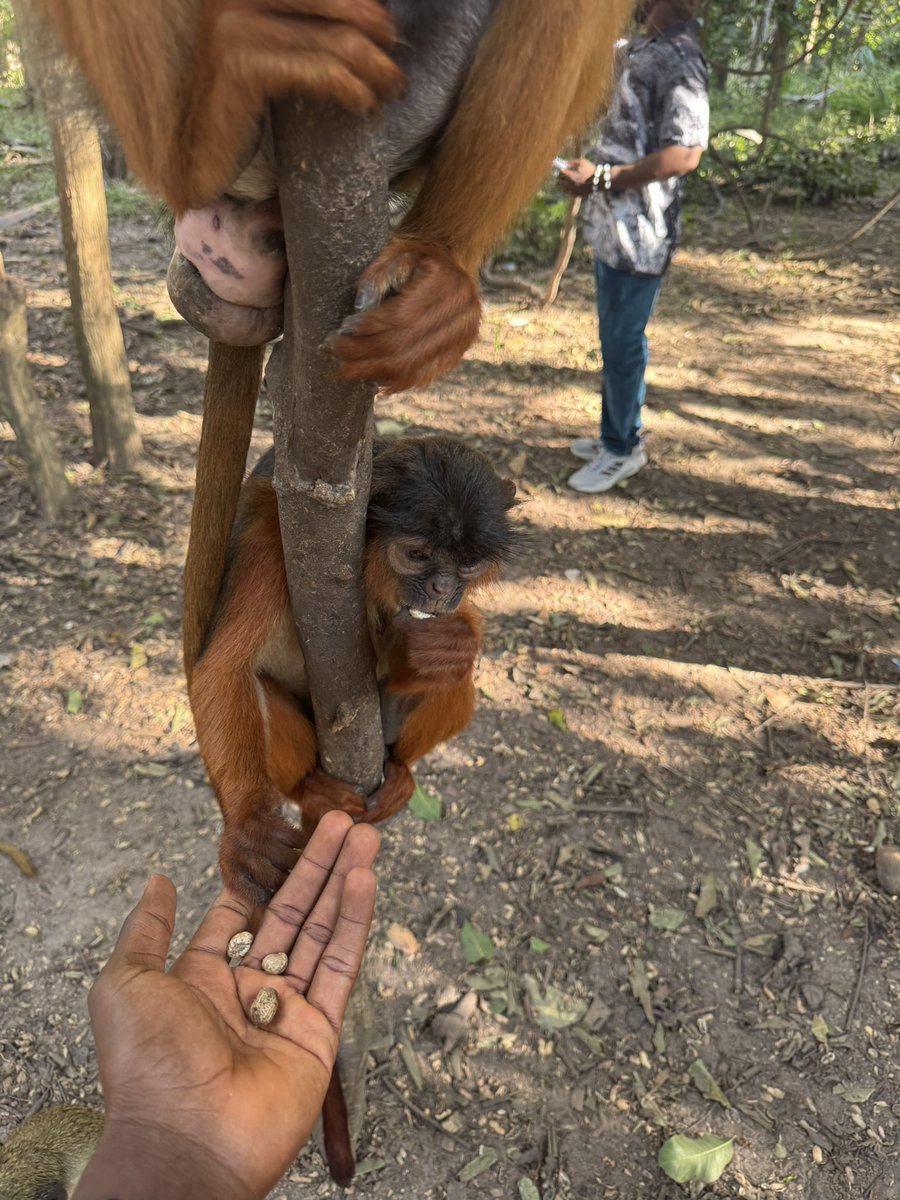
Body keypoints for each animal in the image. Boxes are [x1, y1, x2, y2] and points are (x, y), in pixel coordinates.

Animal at [189, 436, 518, 904]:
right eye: (416, 554)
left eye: (468, 564)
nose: (443, 589)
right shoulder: (273, 539)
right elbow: (223, 669)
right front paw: (248, 829)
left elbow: (449, 647)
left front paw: (450, 643)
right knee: (260, 687)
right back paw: (310, 789)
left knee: (453, 681)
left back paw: (399, 764)